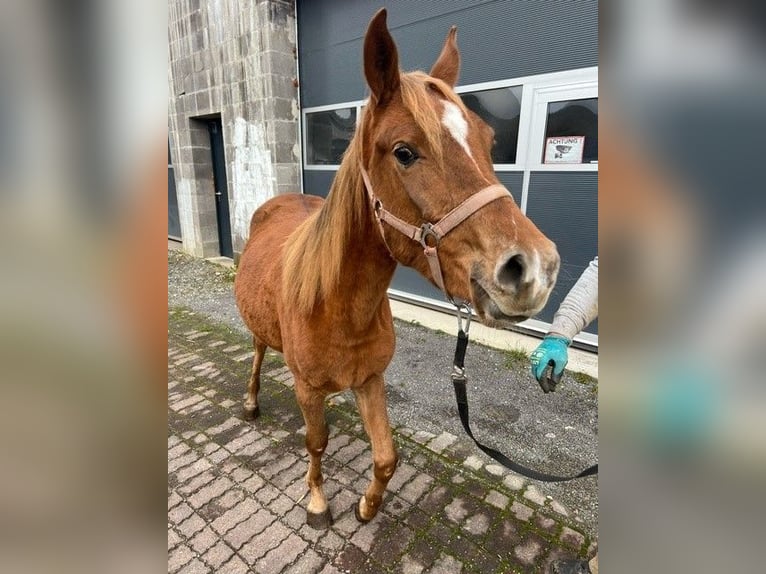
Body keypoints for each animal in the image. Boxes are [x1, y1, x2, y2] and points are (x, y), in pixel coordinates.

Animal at [234, 10, 560, 532]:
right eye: (405, 151)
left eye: (489, 141)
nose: (534, 267)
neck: (340, 307)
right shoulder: (308, 388)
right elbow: (315, 443)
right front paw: (318, 502)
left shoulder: (370, 380)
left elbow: (386, 457)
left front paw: (367, 507)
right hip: (261, 336)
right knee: (259, 352)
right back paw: (250, 402)